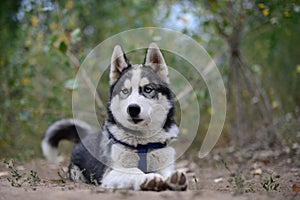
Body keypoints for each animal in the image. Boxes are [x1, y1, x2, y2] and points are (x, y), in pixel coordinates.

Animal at [41, 43, 188, 191]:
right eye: (125, 91)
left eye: (148, 89)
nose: (133, 109)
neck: (142, 144)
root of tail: (84, 137)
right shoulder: (111, 172)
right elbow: (134, 170)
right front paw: (148, 178)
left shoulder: (164, 162)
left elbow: (167, 172)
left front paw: (174, 178)